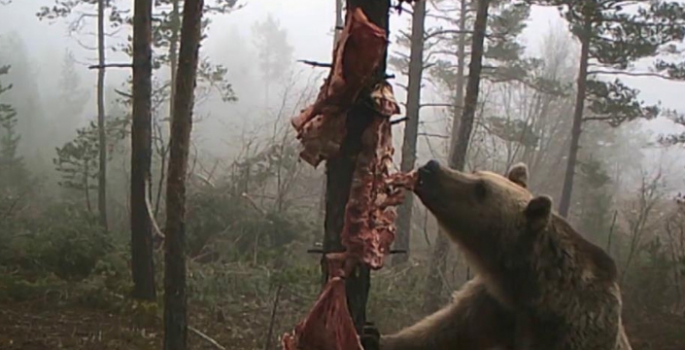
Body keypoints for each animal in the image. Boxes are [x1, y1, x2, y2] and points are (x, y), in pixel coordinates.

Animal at [374, 161, 632, 350]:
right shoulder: (494, 304)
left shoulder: (572, 331)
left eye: (481, 189)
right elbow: (442, 329)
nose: (431, 167)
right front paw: (378, 335)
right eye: (476, 172)